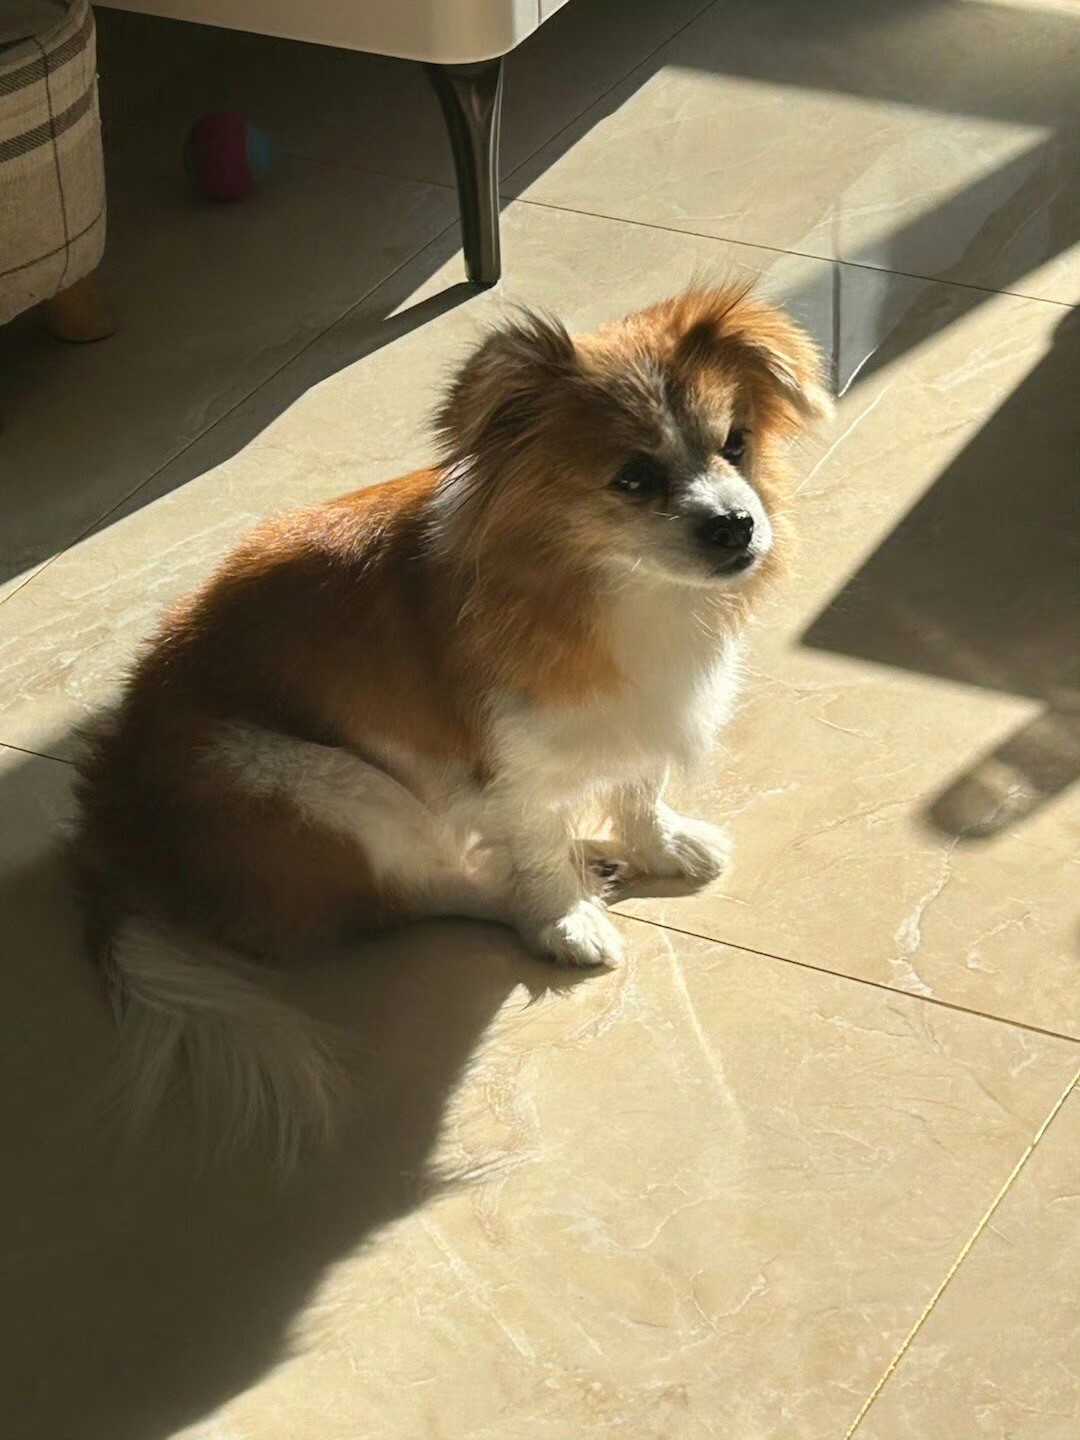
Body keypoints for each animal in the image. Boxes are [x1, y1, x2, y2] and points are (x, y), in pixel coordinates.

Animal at [74, 285, 830, 1160]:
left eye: (736, 444)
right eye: (635, 478)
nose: (736, 525)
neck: (613, 586)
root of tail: (114, 838)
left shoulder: (634, 715)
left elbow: (639, 784)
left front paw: (658, 845)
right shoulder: (510, 764)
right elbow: (533, 841)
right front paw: (564, 917)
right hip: (319, 784)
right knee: (421, 892)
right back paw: (539, 891)